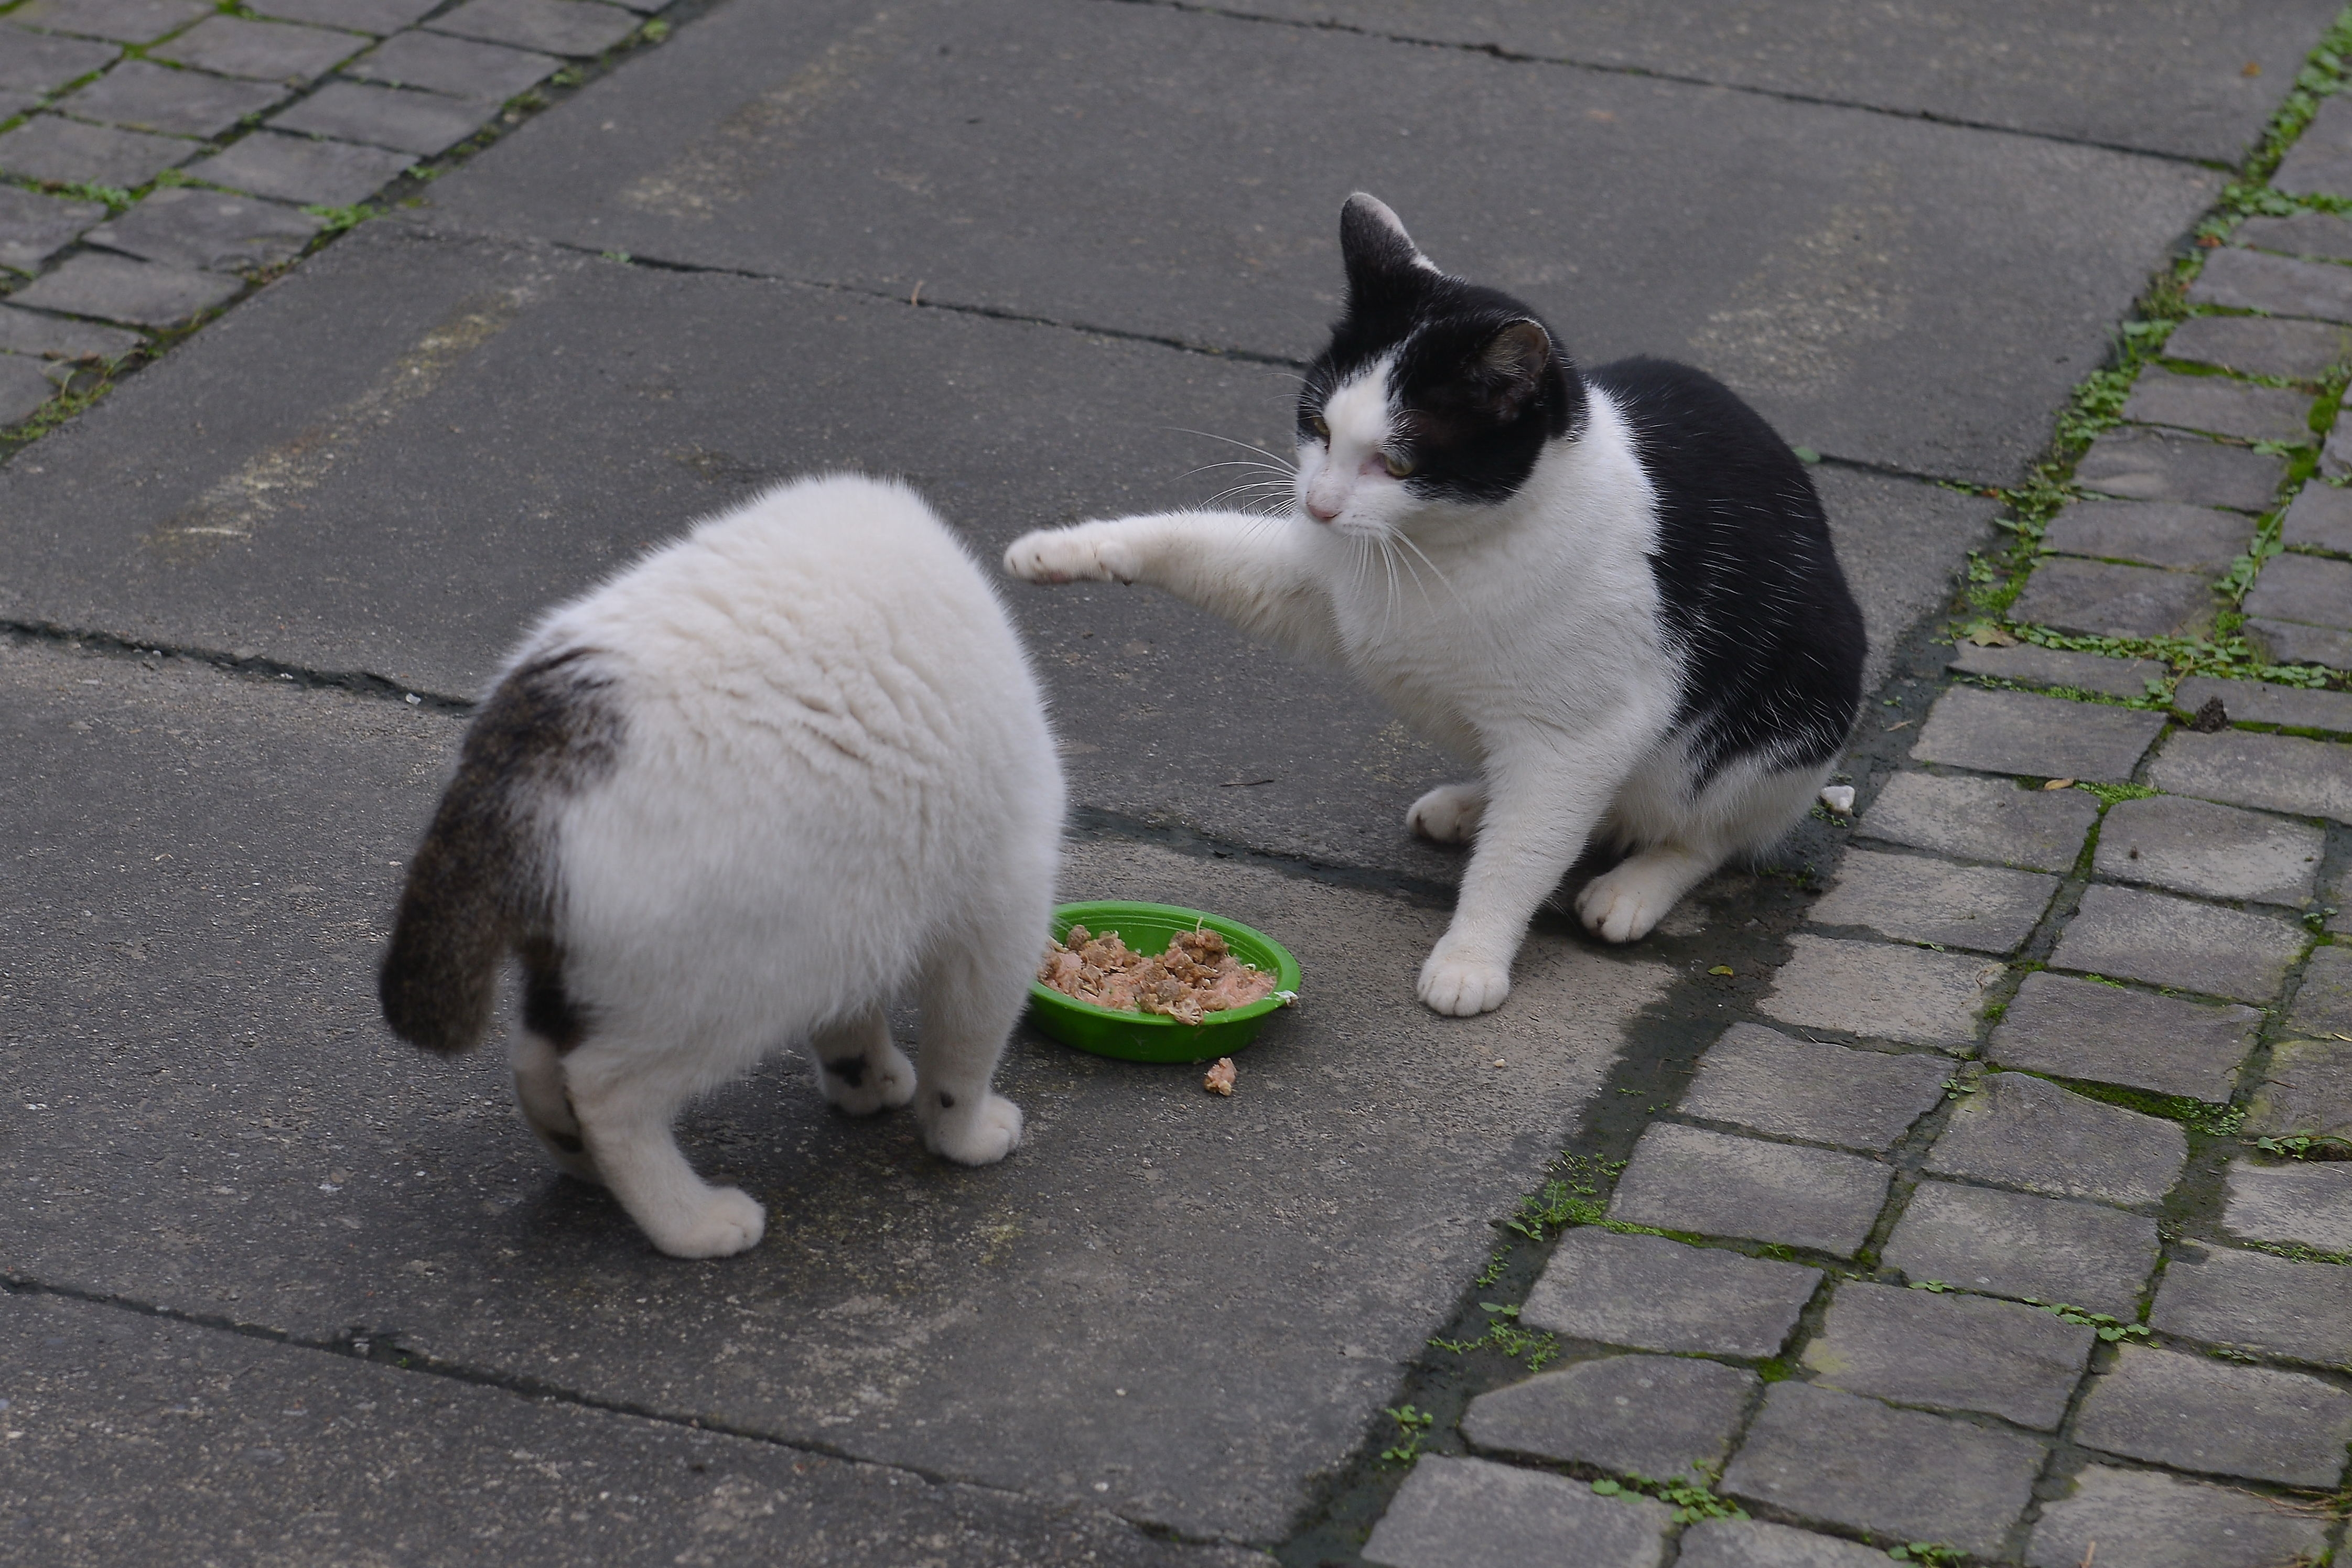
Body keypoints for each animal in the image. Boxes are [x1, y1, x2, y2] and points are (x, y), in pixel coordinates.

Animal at [379, 473, 1063, 1258]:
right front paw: (964, 1133)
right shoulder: (1003, 897)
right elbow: (967, 1047)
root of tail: (516, 770)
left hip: (638, 964)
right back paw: (690, 1221)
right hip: (724, 982)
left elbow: (849, 1014)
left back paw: (578, 1161)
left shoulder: (860, 902)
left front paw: (865, 1080)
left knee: (536, 1063)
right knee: (605, 1090)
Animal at [1005, 194, 1862, 1018]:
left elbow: (1520, 857)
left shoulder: (1576, 740)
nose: (1317, 503)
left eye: (1397, 462)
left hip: (1786, 724)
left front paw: (1471, 959)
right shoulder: (1317, 582)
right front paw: (1061, 551)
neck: (1442, 550)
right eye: (1317, 427)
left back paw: (1634, 884)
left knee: (1708, 831)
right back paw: (1470, 803)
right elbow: (1193, 545)